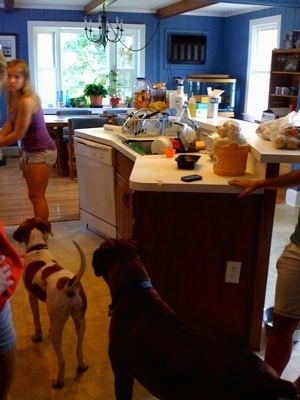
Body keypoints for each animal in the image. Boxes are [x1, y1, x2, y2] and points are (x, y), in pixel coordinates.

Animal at [13, 217, 88, 390]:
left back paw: (59, 381)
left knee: (62, 360)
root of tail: (69, 283)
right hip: (80, 321)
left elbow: (36, 320)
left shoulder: (31, 297)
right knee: (79, 349)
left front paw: (37, 337)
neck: (38, 249)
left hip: (57, 330)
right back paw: (81, 366)